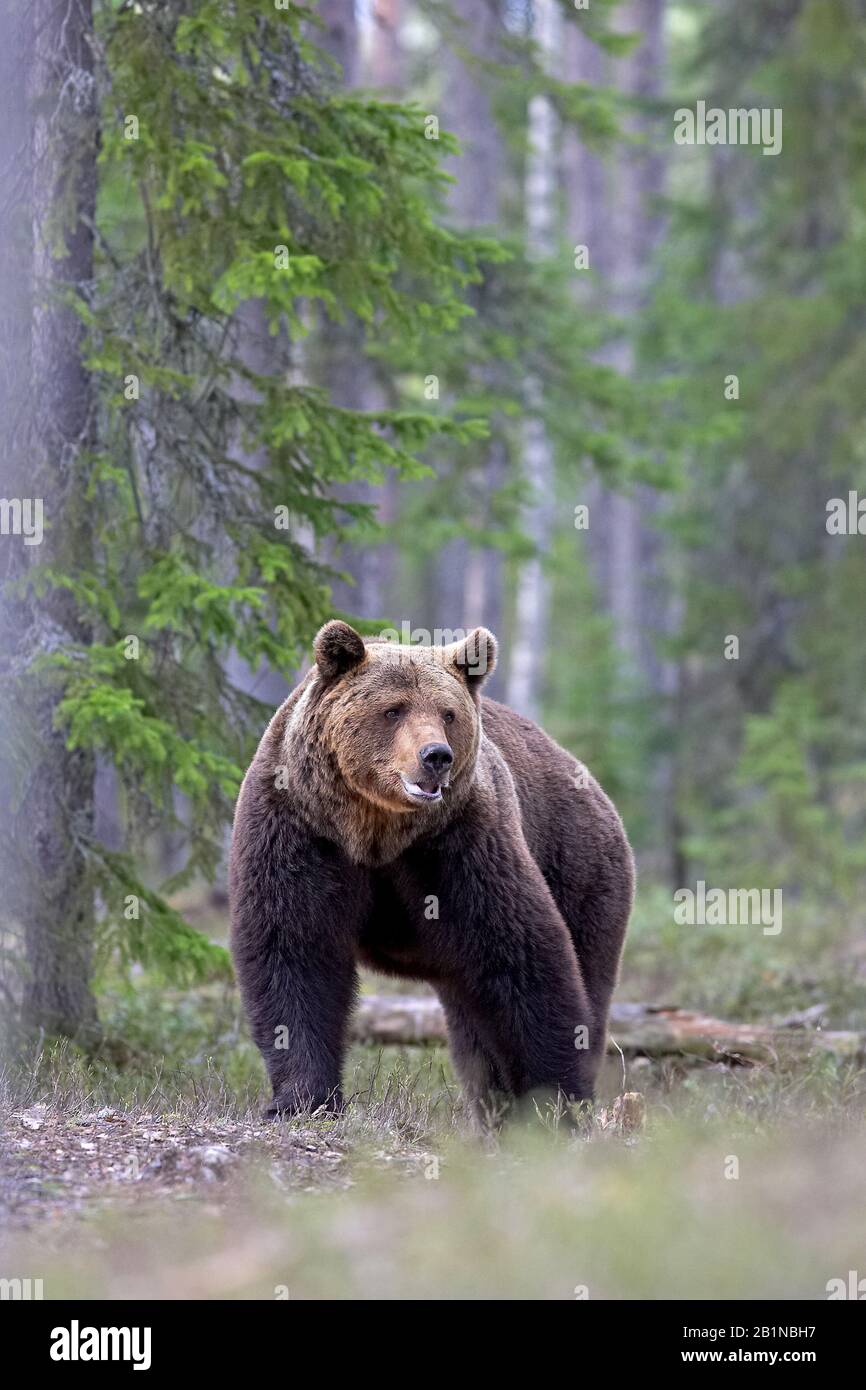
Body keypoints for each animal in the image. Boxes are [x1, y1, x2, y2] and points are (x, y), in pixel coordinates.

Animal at [229, 621, 634, 1126]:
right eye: (393, 710)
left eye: (448, 713)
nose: (436, 756)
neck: (373, 828)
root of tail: (591, 784)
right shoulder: (299, 827)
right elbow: (293, 947)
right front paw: (302, 1098)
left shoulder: (458, 843)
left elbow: (520, 953)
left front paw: (555, 1100)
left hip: (579, 867)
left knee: (583, 974)